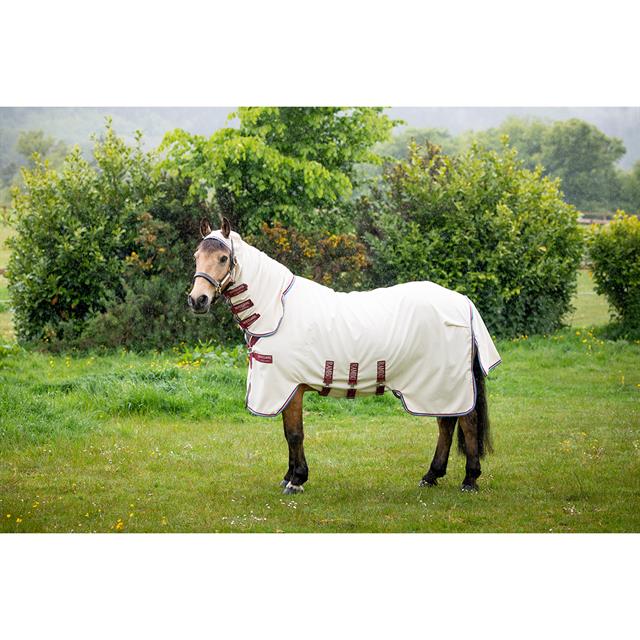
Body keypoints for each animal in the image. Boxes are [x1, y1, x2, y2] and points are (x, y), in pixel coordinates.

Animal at [188, 217, 501, 495]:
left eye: (223, 258)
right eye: (196, 256)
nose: (197, 300)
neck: (278, 310)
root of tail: (463, 302)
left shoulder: (290, 386)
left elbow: (294, 433)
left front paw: (297, 480)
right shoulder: (286, 389)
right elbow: (288, 434)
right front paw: (289, 475)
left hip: (446, 381)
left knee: (467, 422)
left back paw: (469, 479)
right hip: (436, 384)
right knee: (447, 423)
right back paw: (431, 475)